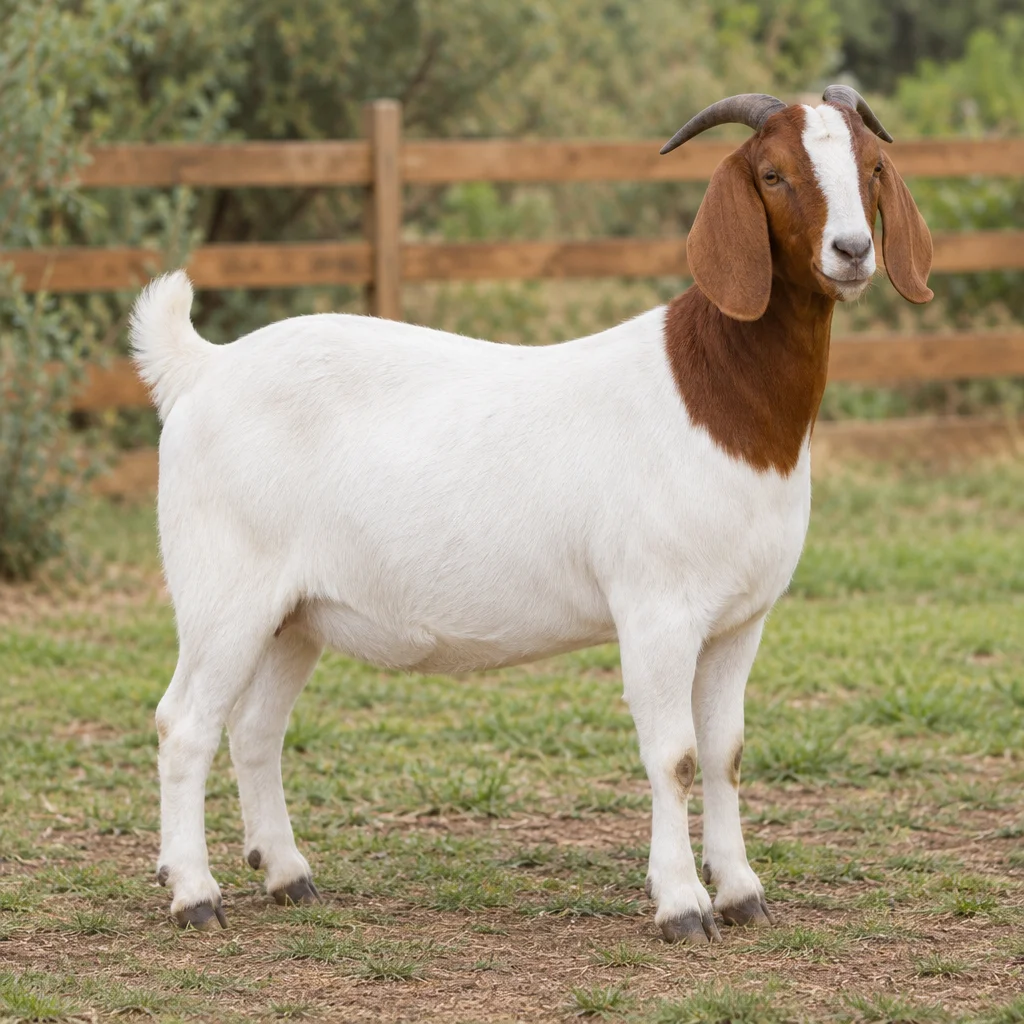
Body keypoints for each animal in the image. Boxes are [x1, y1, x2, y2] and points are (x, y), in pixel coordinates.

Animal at [131, 86, 932, 942]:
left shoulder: (740, 619)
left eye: (872, 167)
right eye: (775, 173)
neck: (719, 398)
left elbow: (725, 752)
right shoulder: (656, 609)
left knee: (255, 728)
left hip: (296, 614)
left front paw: (742, 891)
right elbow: (674, 755)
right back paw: (195, 894)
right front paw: (683, 905)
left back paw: (287, 874)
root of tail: (202, 369)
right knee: (185, 723)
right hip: (225, 589)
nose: (852, 250)